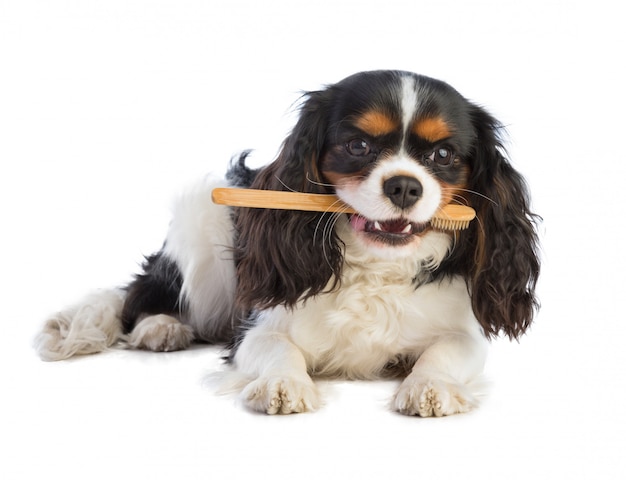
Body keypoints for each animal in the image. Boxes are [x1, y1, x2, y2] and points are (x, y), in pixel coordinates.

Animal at [36, 70, 540, 416]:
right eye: (357, 146)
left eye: (443, 155)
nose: (404, 186)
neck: (375, 264)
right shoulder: (257, 327)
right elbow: (278, 350)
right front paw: (284, 384)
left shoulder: (462, 332)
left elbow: (445, 352)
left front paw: (427, 385)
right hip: (202, 220)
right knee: (142, 293)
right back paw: (161, 326)